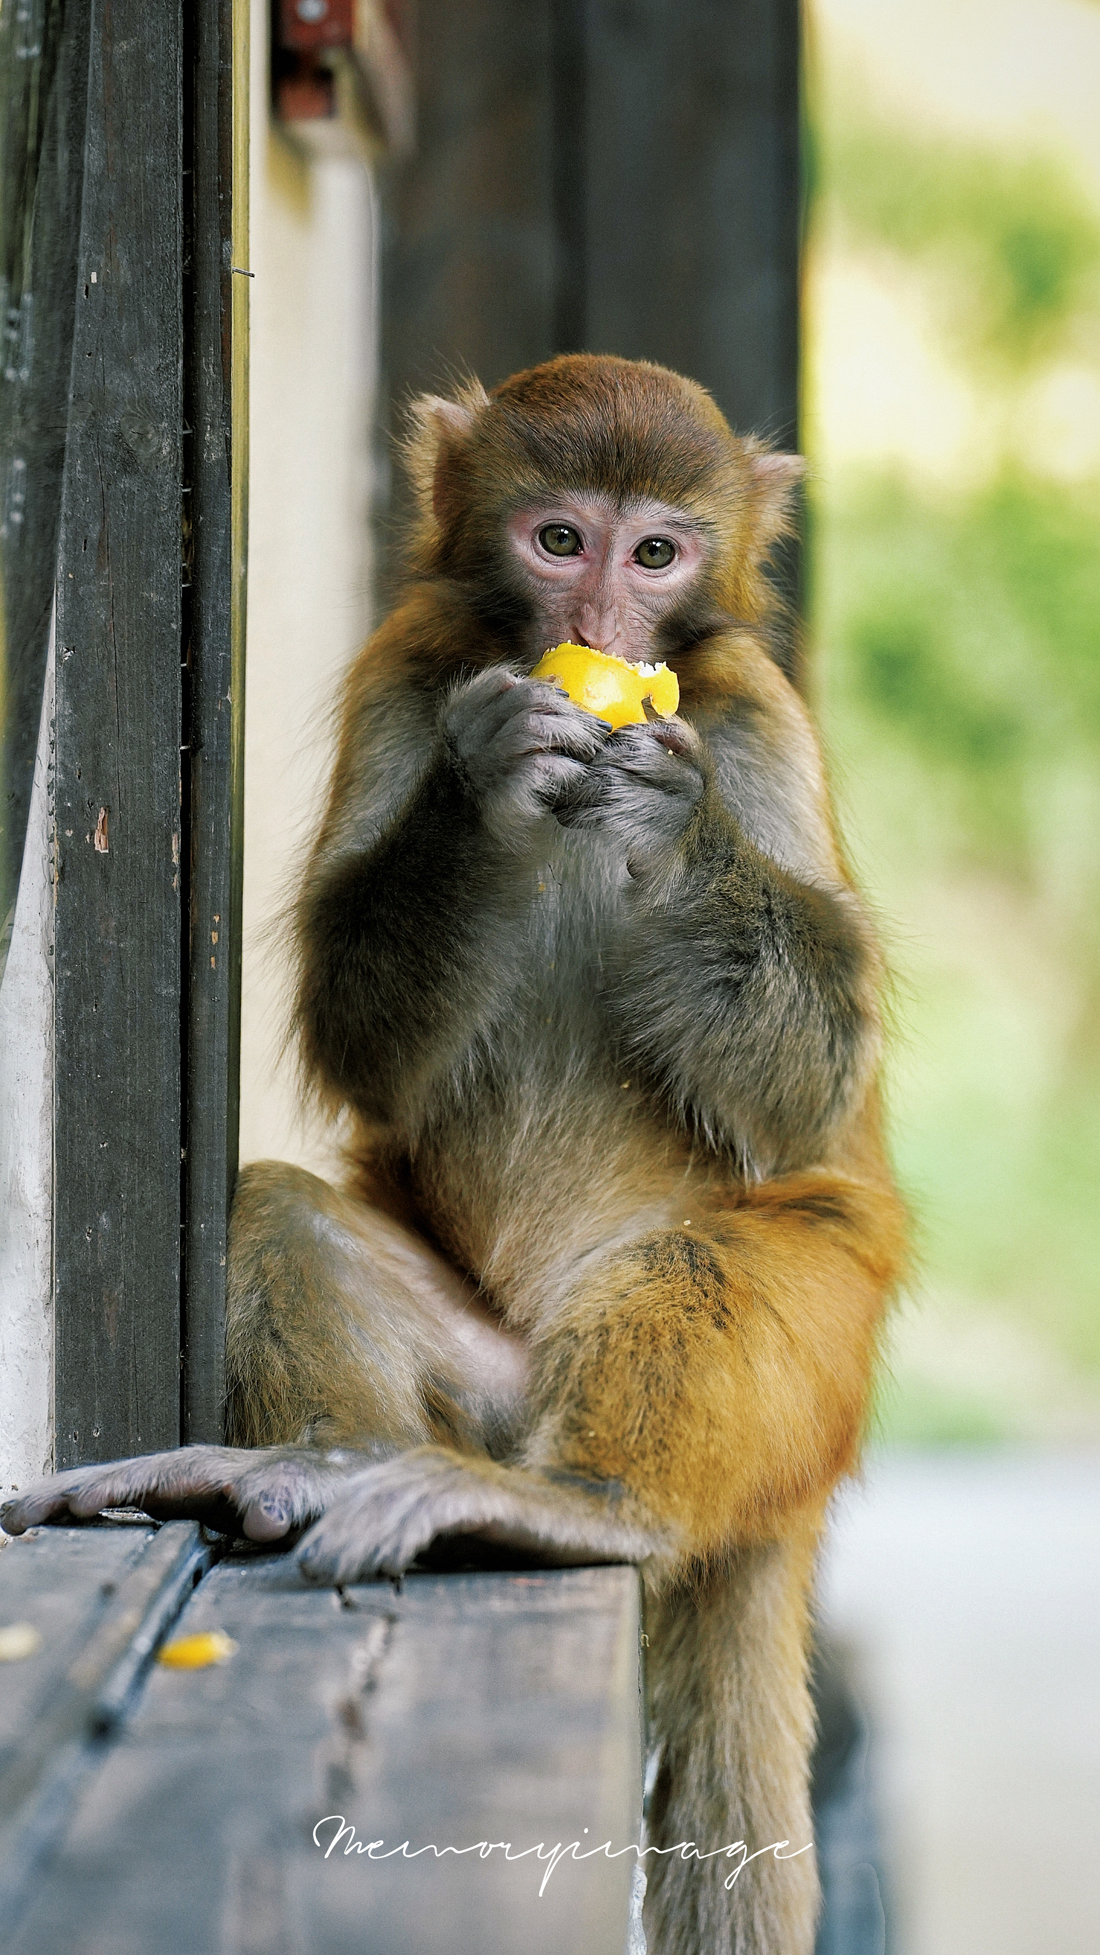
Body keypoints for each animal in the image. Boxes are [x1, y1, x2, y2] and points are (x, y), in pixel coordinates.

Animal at [4, 355, 906, 1955]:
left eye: (655, 551)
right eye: (559, 540)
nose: (598, 622)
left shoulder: (753, 717)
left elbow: (807, 1083)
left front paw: (670, 820)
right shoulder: (406, 667)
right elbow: (363, 1023)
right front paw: (487, 784)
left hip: (809, 1359)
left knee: (730, 1254)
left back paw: (586, 1503)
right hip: (480, 1389)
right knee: (275, 1210)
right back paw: (308, 1466)